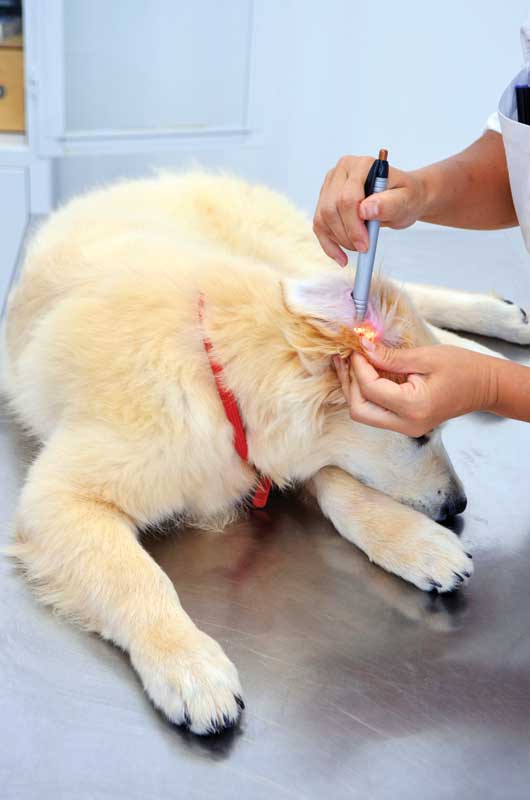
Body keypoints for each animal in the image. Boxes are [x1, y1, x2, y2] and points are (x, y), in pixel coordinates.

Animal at [2, 172, 524, 736]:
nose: (458, 505)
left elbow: (343, 486)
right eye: (418, 435)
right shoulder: (59, 498)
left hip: (289, 252)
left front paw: (415, 542)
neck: (214, 376)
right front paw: (189, 664)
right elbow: (136, 578)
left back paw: (493, 333)